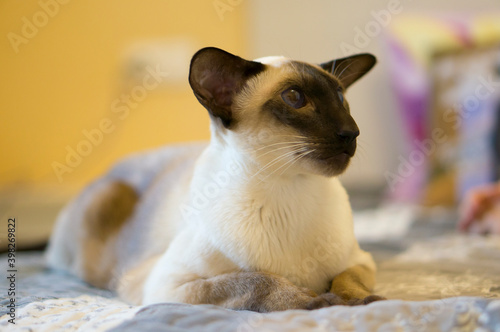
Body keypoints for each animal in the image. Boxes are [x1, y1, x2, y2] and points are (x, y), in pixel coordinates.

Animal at [46, 46, 382, 312]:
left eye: (340, 97)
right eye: (295, 98)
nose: (351, 132)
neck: (289, 189)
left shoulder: (359, 261)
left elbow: (346, 280)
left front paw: (365, 302)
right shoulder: (170, 285)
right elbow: (258, 281)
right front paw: (316, 301)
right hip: (109, 201)